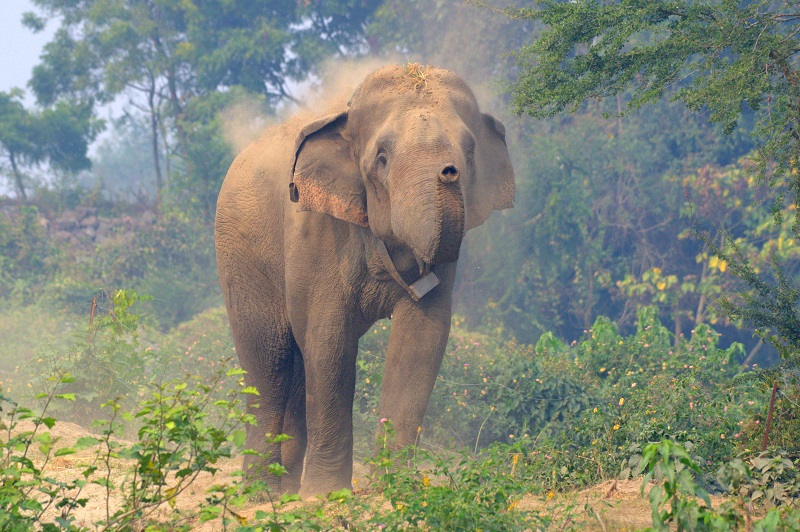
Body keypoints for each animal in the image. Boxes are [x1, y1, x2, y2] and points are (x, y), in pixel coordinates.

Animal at [214, 64, 512, 496]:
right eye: (382, 159)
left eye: (470, 152)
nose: (449, 171)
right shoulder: (317, 230)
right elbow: (329, 340)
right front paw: (326, 495)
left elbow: (421, 339)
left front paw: (396, 487)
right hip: (240, 254)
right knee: (270, 360)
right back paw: (262, 491)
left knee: (295, 366)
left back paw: (285, 489)